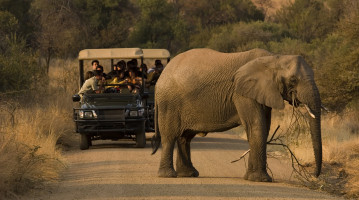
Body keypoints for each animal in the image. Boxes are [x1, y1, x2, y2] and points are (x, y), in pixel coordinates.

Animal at [152, 48, 324, 181]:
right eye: (293, 80)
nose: (314, 176)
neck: (274, 58)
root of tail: (162, 76)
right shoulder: (242, 93)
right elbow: (257, 125)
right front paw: (261, 179)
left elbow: (265, 127)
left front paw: (251, 178)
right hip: (169, 104)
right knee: (169, 136)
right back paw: (168, 175)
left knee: (185, 138)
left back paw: (189, 174)